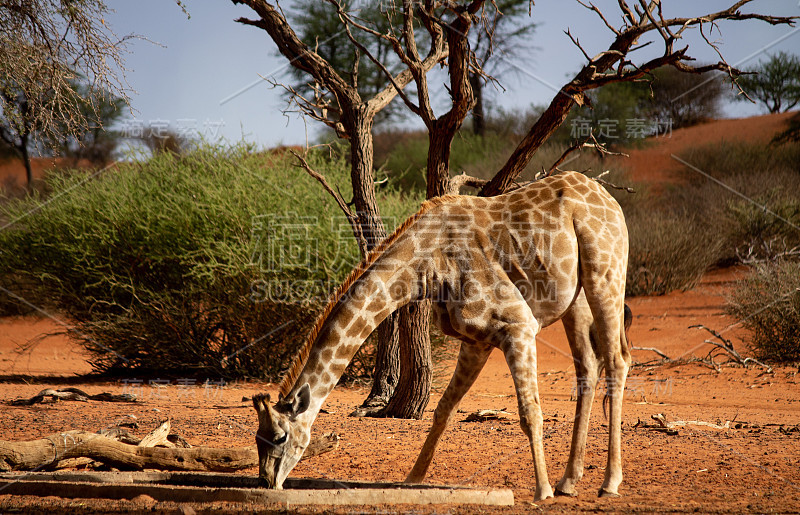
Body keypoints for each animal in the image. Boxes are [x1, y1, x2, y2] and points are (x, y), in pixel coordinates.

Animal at [253, 171, 628, 502]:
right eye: (257, 438)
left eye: (280, 437)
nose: (267, 482)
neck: (425, 267)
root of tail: (610, 199)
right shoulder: (476, 340)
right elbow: (443, 409)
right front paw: (411, 480)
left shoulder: (517, 324)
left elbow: (529, 412)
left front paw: (542, 490)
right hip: (575, 298)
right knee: (588, 367)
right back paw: (569, 482)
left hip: (605, 274)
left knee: (617, 360)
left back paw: (608, 483)